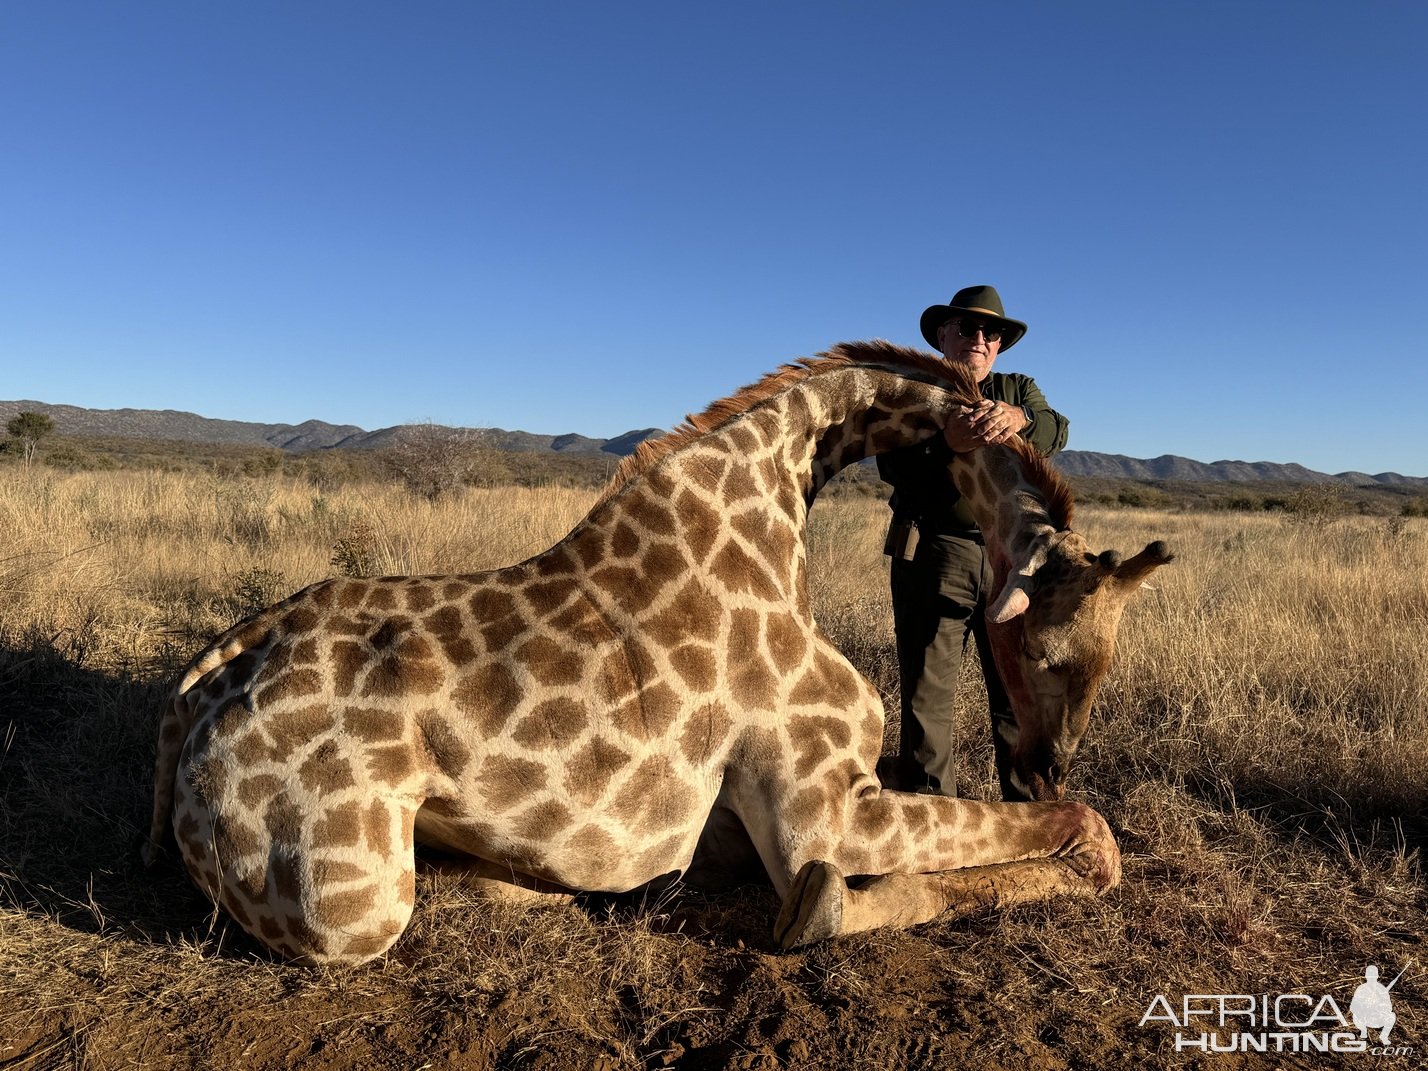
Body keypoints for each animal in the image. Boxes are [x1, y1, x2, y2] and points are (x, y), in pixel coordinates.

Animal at [144, 341, 1170, 965]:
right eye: (1048, 650)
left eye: (1106, 656)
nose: (1041, 765)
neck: (773, 512)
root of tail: (194, 694)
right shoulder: (825, 811)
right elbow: (1093, 838)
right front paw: (823, 910)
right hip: (351, 907)